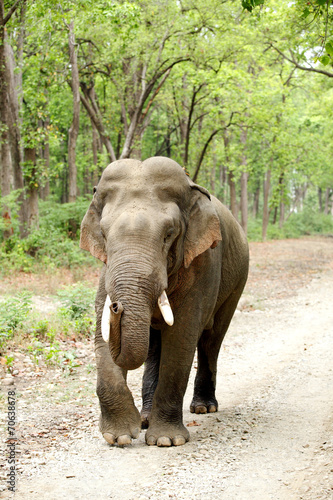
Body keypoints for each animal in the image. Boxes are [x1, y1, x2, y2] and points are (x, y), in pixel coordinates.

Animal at [79, 155, 248, 446]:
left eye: (169, 234)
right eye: (104, 233)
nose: (117, 306)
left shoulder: (203, 262)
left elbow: (181, 336)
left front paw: (167, 441)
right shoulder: (105, 270)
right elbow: (103, 335)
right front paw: (119, 436)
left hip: (237, 282)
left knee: (211, 340)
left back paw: (203, 408)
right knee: (154, 347)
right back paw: (145, 420)